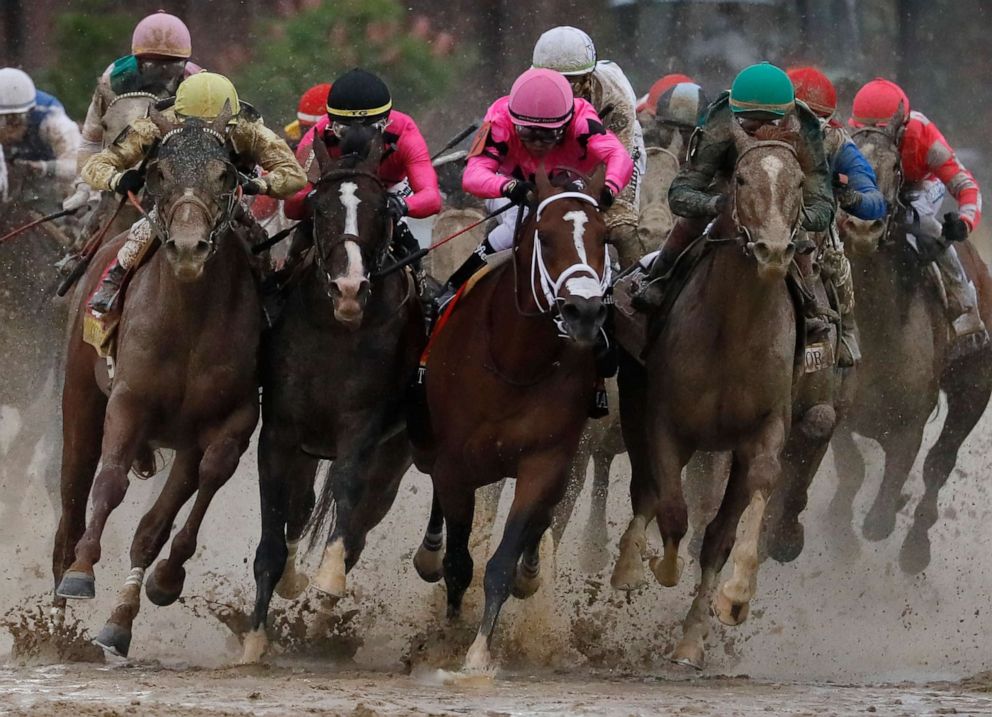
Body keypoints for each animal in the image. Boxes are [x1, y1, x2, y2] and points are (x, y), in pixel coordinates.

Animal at [52, 103, 264, 656]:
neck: (188, 321)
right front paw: (82, 573)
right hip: (79, 399)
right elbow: (109, 483)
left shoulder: (232, 419)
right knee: (72, 502)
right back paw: (55, 615)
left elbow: (199, 484)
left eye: (225, 175)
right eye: (159, 173)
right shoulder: (128, 402)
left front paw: (160, 584)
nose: (189, 248)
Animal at [244, 126, 426, 664]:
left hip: (394, 458)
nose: (349, 288)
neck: (335, 330)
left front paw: (327, 578)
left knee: (361, 521)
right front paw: (254, 639)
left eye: (382, 209)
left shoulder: (362, 429)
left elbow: (346, 494)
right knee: (301, 508)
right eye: (319, 208)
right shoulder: (280, 432)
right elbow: (274, 533)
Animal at [406, 165, 608, 668]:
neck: (516, 363)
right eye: (546, 237)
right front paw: (447, 635)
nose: (584, 312)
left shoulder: (544, 461)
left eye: (604, 237)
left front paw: (478, 651)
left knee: (545, 518)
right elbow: (459, 563)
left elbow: (501, 560)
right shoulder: (455, 465)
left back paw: (530, 571)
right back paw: (429, 554)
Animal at [612, 120, 812, 668]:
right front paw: (657, 566)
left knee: (710, 529)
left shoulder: (765, 428)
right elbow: (671, 509)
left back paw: (691, 637)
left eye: (800, 183)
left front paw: (735, 596)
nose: (773, 251)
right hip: (634, 403)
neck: (735, 327)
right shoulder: (665, 422)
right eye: (740, 179)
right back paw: (629, 565)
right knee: (645, 490)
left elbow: (734, 519)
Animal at [828, 109, 992, 572]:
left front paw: (885, 515)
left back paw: (917, 547)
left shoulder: (910, 422)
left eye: (895, 167)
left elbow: (882, 515)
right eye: (843, 168)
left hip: (975, 383)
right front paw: (839, 533)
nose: (863, 225)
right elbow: (851, 468)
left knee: (940, 462)